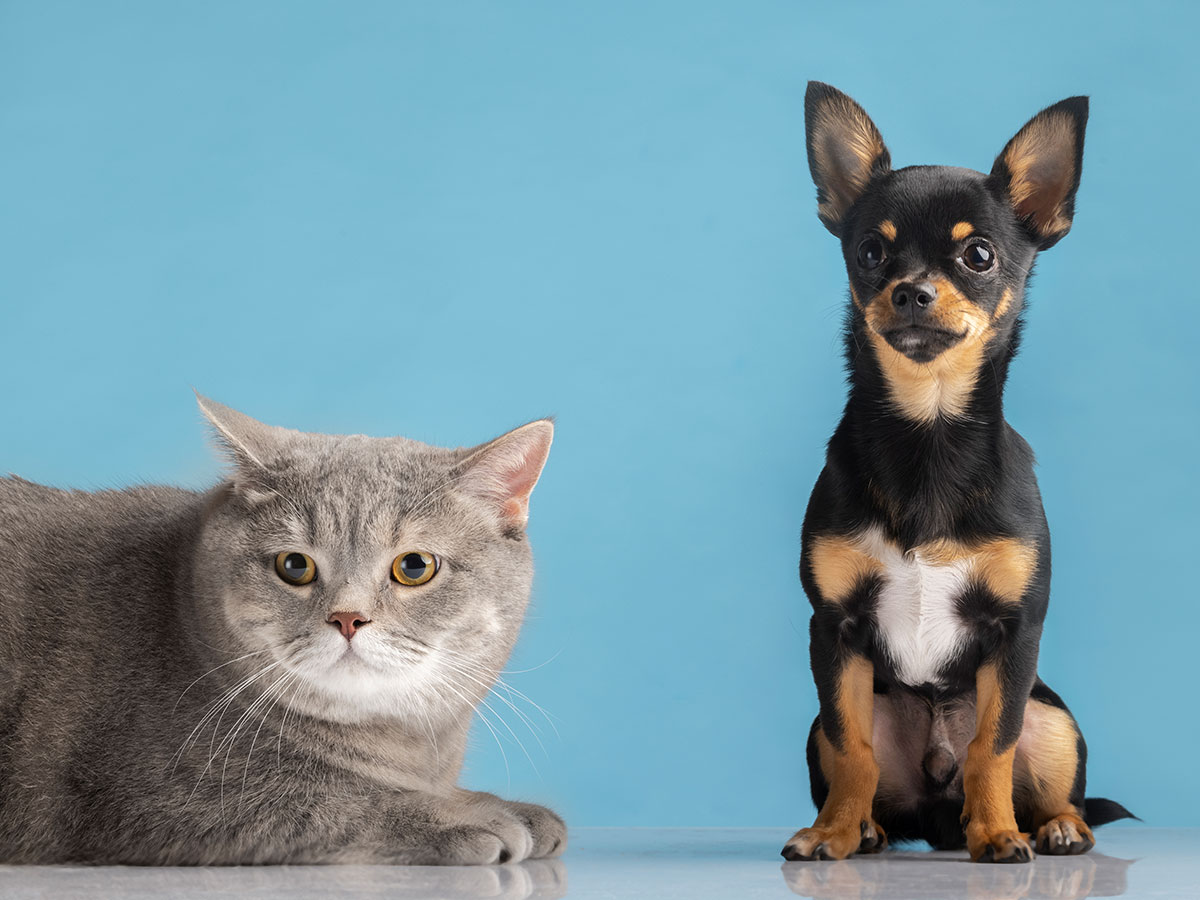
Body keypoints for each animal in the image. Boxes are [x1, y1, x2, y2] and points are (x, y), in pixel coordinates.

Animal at [0, 396, 566, 868]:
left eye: (415, 566)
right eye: (294, 565)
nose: (348, 617)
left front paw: (514, 809)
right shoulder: (159, 794)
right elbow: (340, 799)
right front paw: (470, 813)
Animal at [782, 84, 1128, 868]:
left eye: (978, 254)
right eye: (870, 251)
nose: (912, 291)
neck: (928, 430)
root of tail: (937, 821)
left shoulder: (1015, 634)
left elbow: (990, 750)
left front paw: (998, 833)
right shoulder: (834, 633)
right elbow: (853, 751)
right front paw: (833, 834)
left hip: (1051, 714)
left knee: (1037, 778)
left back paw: (1054, 828)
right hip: (823, 723)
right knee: (861, 766)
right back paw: (868, 830)